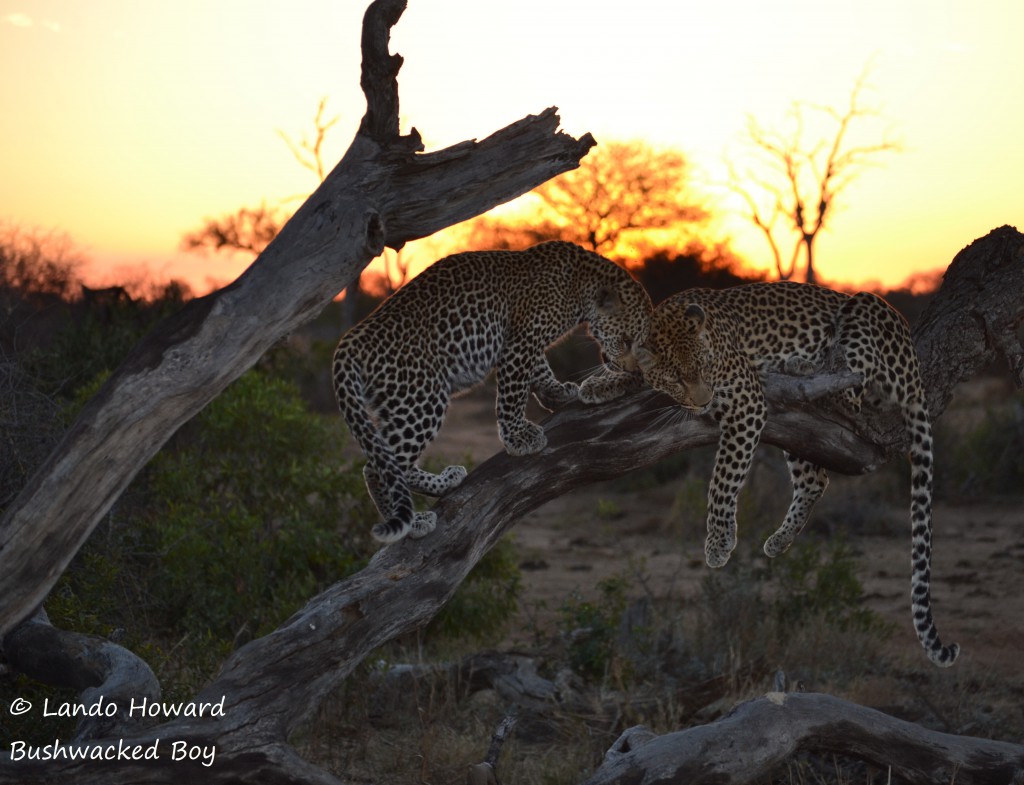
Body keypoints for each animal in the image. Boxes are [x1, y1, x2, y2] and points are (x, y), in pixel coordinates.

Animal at [331, 241, 651, 548]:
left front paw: (557, 394)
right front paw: (518, 438)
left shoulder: (524, 342)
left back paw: (445, 482)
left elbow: (540, 370)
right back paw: (413, 523)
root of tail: (350, 341)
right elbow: (513, 393)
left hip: (398, 404)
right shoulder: (521, 341)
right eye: (626, 340)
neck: (582, 284)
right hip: (421, 399)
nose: (630, 368)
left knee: (393, 462)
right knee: (376, 469)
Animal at [638, 278, 958, 667]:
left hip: (863, 310)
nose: (704, 401)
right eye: (677, 379)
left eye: (706, 364)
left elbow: (723, 479)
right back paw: (779, 540)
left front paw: (717, 543)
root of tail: (913, 361)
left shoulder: (747, 401)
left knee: (850, 389)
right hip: (800, 434)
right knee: (816, 480)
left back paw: (802, 366)